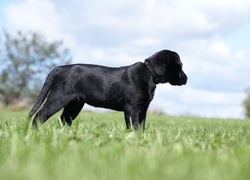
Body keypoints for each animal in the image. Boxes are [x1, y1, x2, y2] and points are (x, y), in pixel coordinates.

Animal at [28, 49, 188, 129]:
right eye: (179, 66)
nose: (186, 79)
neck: (150, 73)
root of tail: (59, 68)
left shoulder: (143, 108)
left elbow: (141, 125)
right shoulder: (132, 108)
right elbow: (135, 125)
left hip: (75, 104)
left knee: (64, 119)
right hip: (58, 98)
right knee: (40, 115)